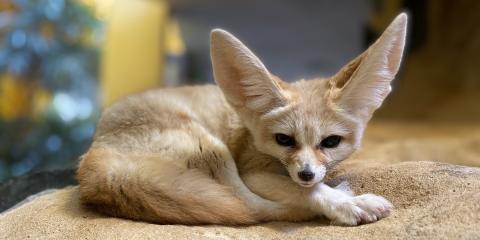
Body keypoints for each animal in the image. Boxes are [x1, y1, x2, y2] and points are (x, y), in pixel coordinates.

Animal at [77, 14, 406, 226]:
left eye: (331, 142)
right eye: (284, 140)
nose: (306, 173)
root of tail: (94, 162)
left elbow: (309, 186)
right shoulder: (254, 173)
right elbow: (306, 192)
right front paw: (347, 203)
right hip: (213, 149)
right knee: (252, 208)